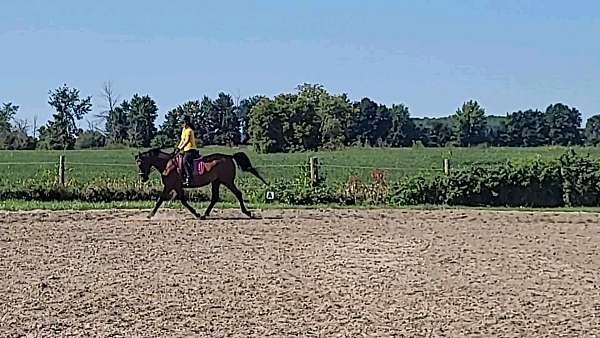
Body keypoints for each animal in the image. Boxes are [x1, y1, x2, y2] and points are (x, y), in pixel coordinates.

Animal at [137, 148, 268, 219]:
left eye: (140, 163)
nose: (143, 178)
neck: (168, 164)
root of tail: (229, 157)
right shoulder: (177, 186)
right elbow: (183, 201)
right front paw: (197, 214)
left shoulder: (169, 186)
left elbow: (160, 199)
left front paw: (150, 215)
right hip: (216, 182)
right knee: (215, 197)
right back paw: (205, 214)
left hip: (227, 181)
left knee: (238, 194)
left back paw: (248, 213)